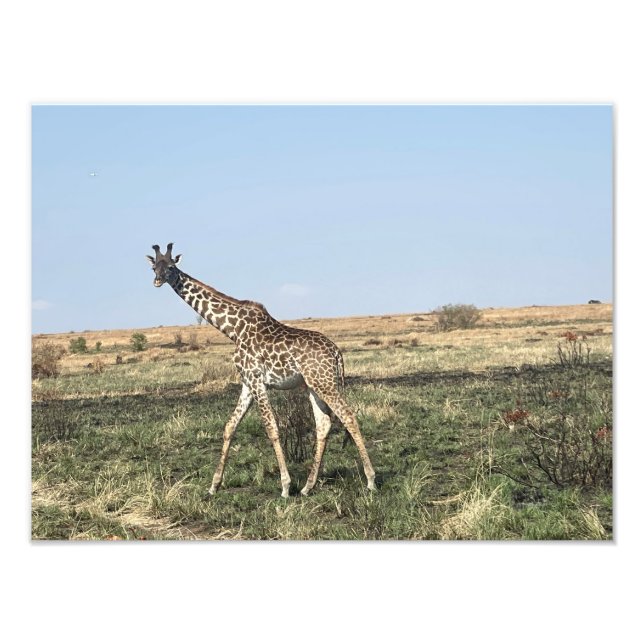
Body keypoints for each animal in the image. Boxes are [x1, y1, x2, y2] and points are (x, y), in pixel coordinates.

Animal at [146, 243, 376, 498]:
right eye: (154, 267)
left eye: (171, 266)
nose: (157, 280)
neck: (233, 329)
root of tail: (337, 353)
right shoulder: (247, 383)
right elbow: (230, 426)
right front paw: (214, 485)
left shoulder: (257, 380)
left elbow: (272, 427)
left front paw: (285, 486)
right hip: (314, 385)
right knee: (324, 424)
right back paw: (308, 486)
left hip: (325, 382)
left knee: (348, 416)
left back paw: (370, 481)